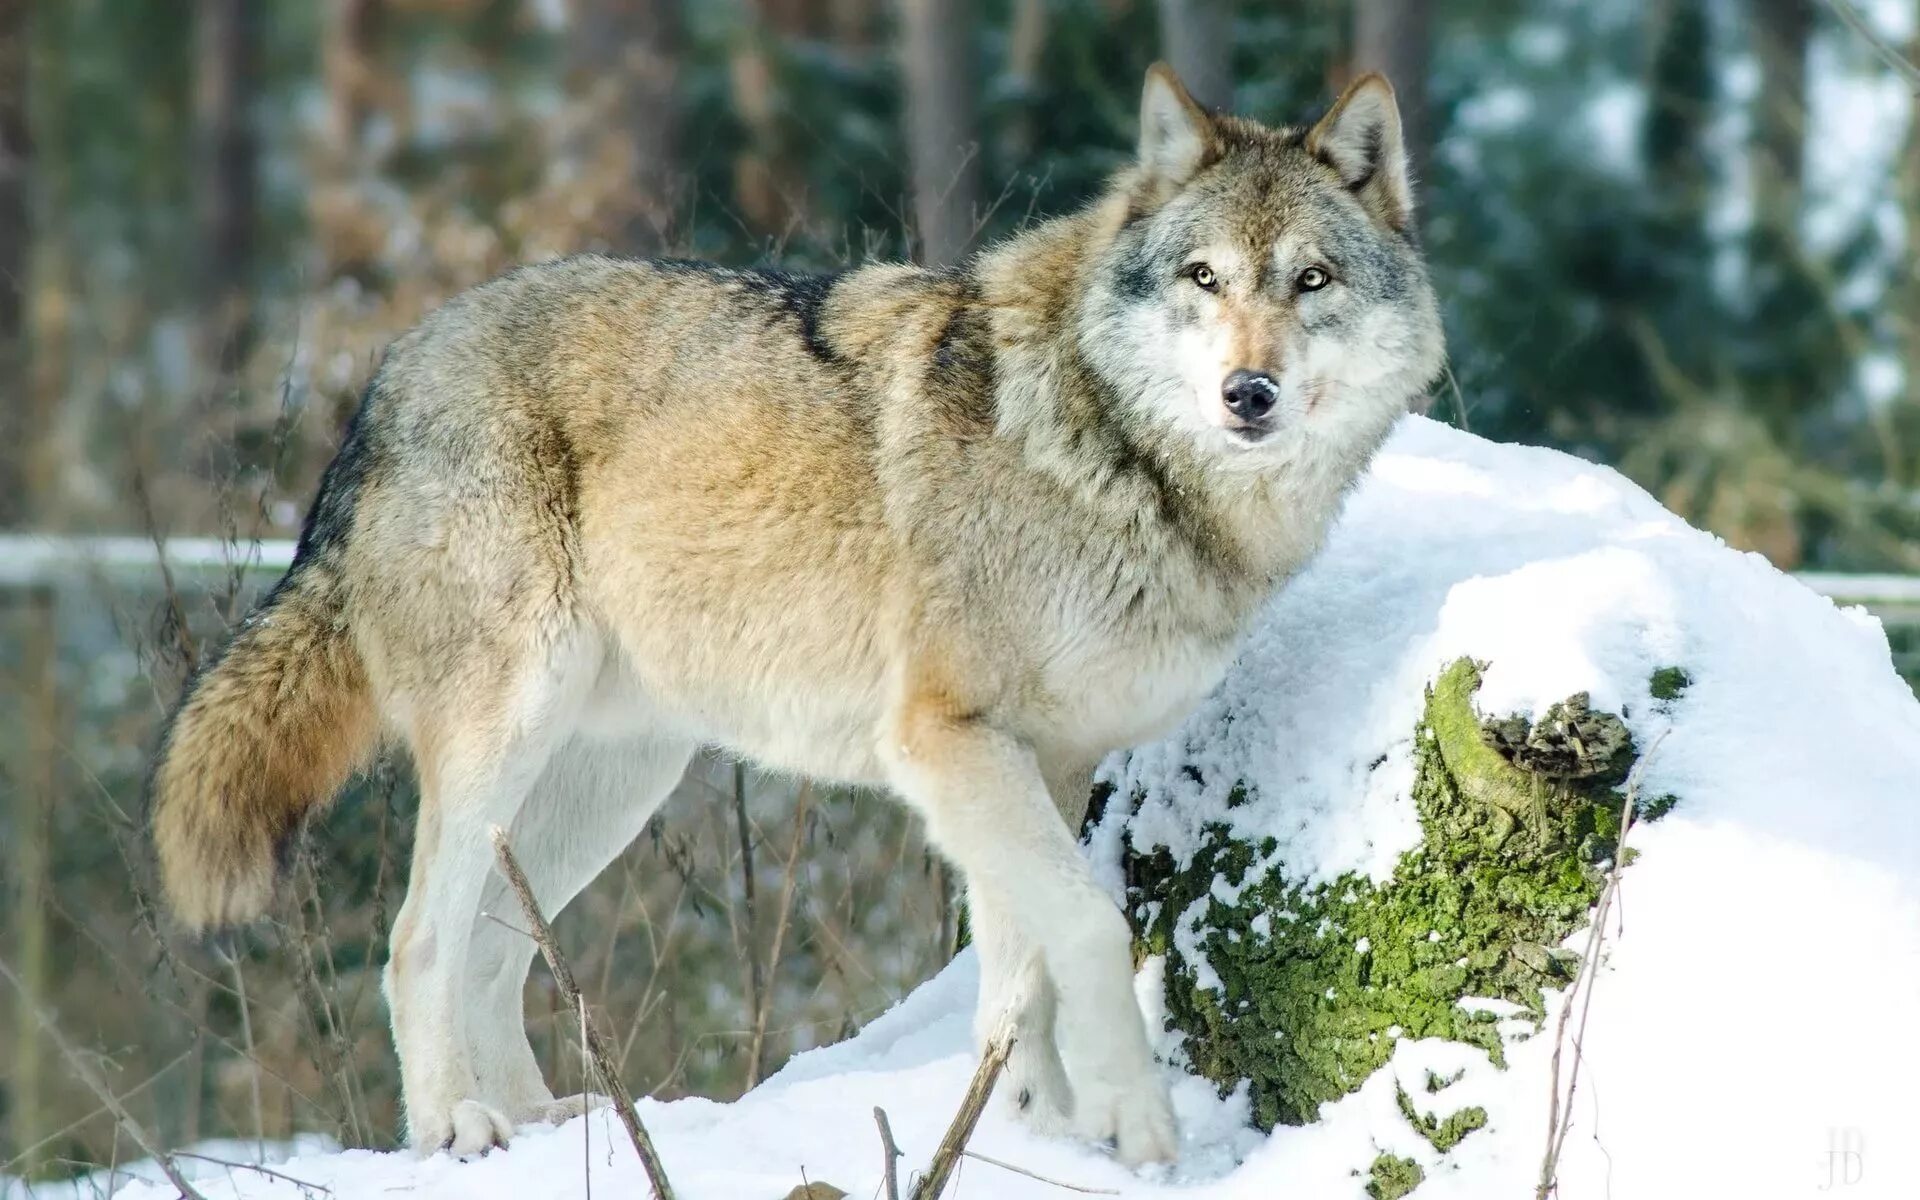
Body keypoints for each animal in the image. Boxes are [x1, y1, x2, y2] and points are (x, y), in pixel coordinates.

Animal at [149, 63, 1443, 1159]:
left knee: (492, 956)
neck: (1105, 448)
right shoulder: (945, 740)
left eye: (1311, 281)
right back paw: (454, 1130)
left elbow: (1017, 977)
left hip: (609, 784)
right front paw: (1132, 1126)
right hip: (506, 742)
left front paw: (1028, 1134)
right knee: (418, 943)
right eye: (1203, 278)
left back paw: (550, 1127)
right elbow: (1085, 928)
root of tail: (390, 374)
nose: (1248, 392)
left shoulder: (1046, 760)